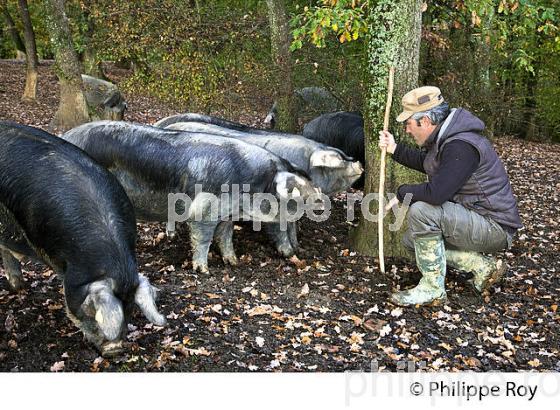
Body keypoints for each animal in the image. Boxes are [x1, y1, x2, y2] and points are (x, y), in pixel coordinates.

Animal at [61, 121, 322, 272]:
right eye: (296, 195)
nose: (321, 200)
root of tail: (67, 135)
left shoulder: (227, 214)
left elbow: (225, 236)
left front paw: (233, 262)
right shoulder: (204, 209)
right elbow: (203, 236)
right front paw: (203, 270)